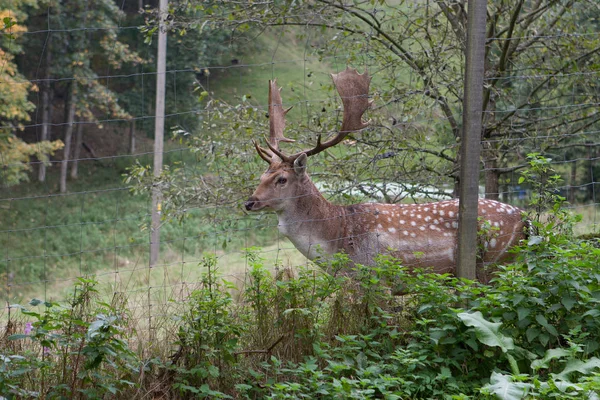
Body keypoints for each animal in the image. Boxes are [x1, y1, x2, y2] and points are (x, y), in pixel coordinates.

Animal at [243, 67, 524, 282]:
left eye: (282, 179)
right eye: (261, 177)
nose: (249, 202)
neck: (338, 238)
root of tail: (527, 220)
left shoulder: (375, 276)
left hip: (493, 263)